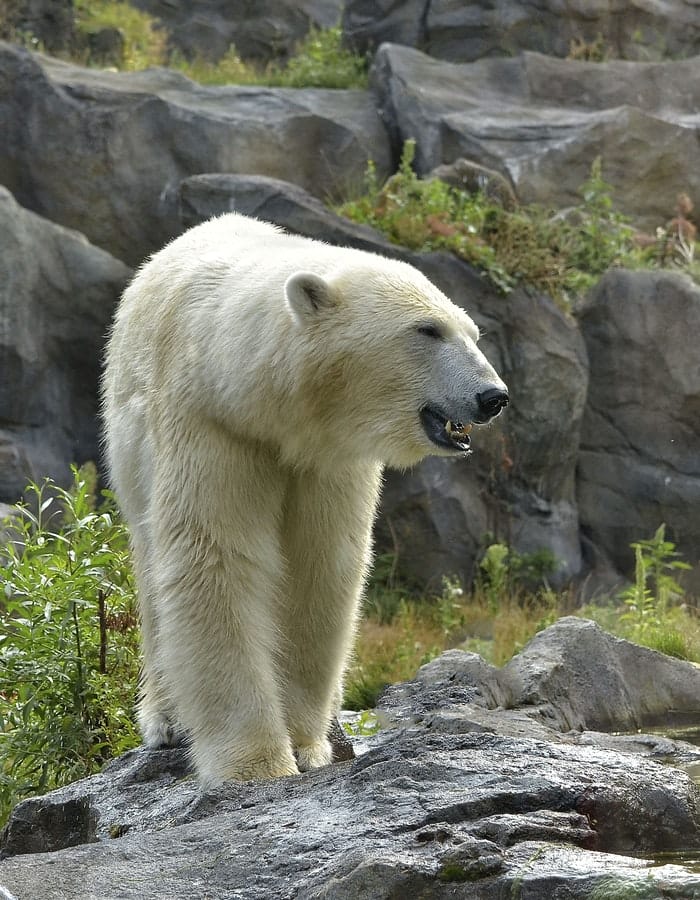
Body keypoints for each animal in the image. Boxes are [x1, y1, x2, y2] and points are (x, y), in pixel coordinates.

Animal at [101, 213, 508, 785]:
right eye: (428, 330)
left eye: (472, 332)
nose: (493, 397)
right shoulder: (210, 421)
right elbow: (216, 559)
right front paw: (256, 764)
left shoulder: (330, 457)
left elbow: (320, 565)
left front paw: (306, 743)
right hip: (131, 445)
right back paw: (166, 719)